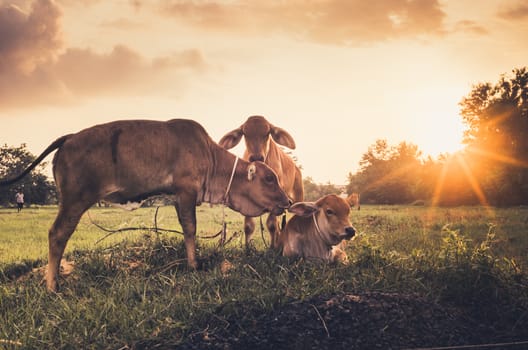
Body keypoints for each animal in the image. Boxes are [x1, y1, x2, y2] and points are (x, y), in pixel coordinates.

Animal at [0, 119, 292, 292]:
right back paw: (52, 285)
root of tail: (70, 137)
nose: (288, 201)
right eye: (269, 179)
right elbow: (190, 229)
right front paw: (193, 265)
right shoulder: (186, 192)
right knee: (57, 234)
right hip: (75, 200)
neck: (210, 157)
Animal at [218, 116, 302, 247]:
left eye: (267, 133)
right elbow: (248, 226)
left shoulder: (277, 198)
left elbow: (272, 225)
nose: (256, 157)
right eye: (245, 133)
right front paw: (247, 248)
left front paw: (271, 248)